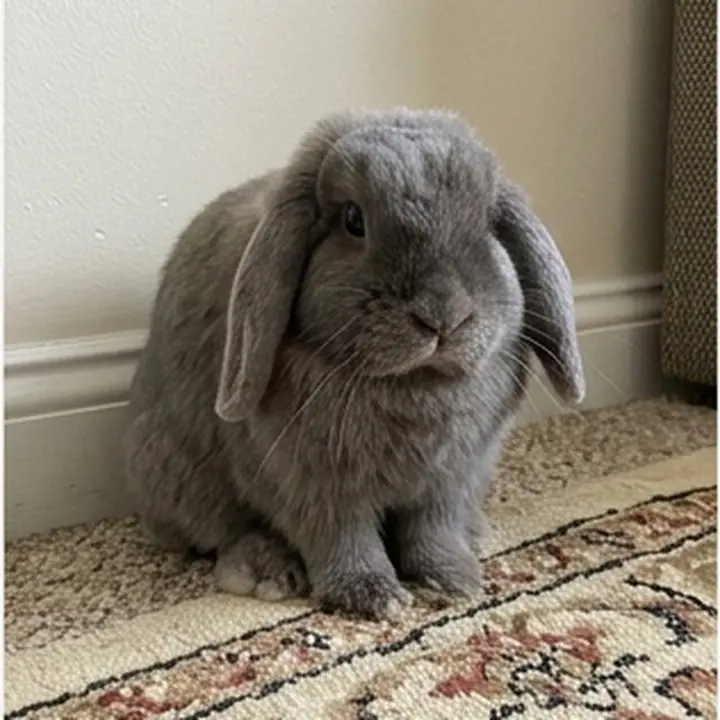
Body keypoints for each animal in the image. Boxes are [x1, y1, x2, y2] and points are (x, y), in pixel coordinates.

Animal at [125, 108, 585, 619]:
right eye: (353, 220)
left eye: (487, 223)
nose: (443, 314)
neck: (413, 383)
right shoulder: (314, 484)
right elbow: (342, 537)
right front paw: (373, 597)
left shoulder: (450, 479)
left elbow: (433, 530)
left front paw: (453, 580)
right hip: (179, 476)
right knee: (224, 532)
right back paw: (265, 573)